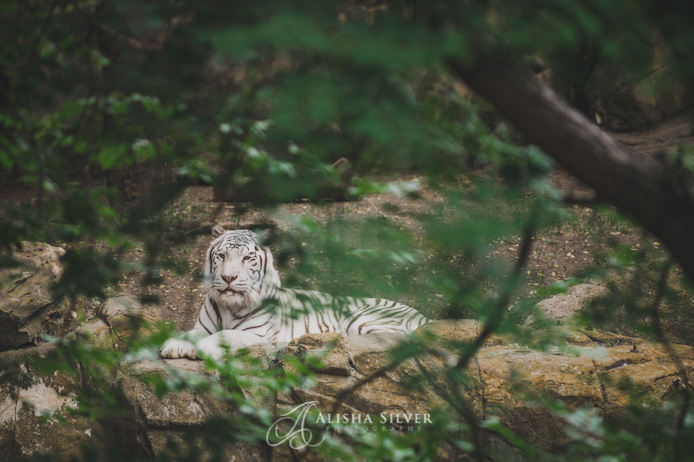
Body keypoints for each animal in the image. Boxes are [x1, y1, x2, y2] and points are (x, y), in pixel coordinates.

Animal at [161, 225, 432, 360]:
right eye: (221, 255)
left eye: (247, 258)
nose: (228, 278)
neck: (229, 305)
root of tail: (423, 315)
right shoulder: (202, 328)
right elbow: (189, 333)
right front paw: (174, 345)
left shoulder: (258, 335)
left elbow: (225, 334)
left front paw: (199, 349)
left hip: (363, 319)